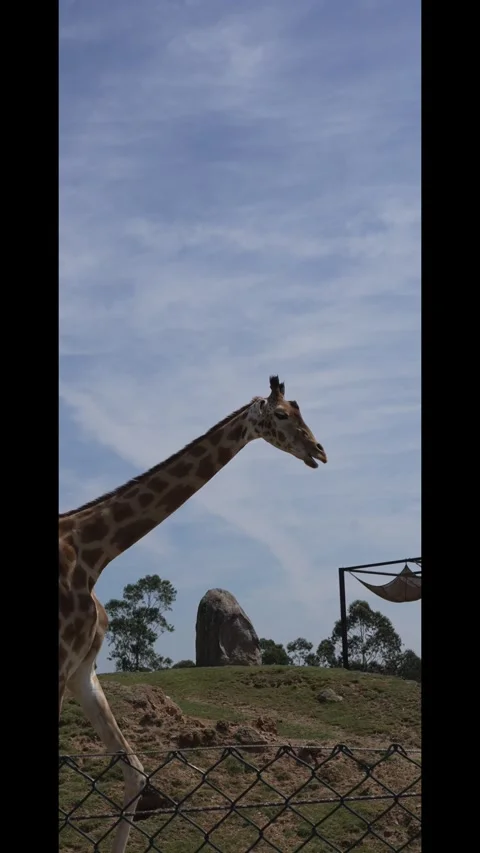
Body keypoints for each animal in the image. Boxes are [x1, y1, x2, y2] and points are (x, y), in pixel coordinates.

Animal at [59, 375, 327, 852]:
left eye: (300, 409)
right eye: (281, 414)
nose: (319, 449)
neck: (92, 553)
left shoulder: (81, 670)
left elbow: (136, 772)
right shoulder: (58, 661)